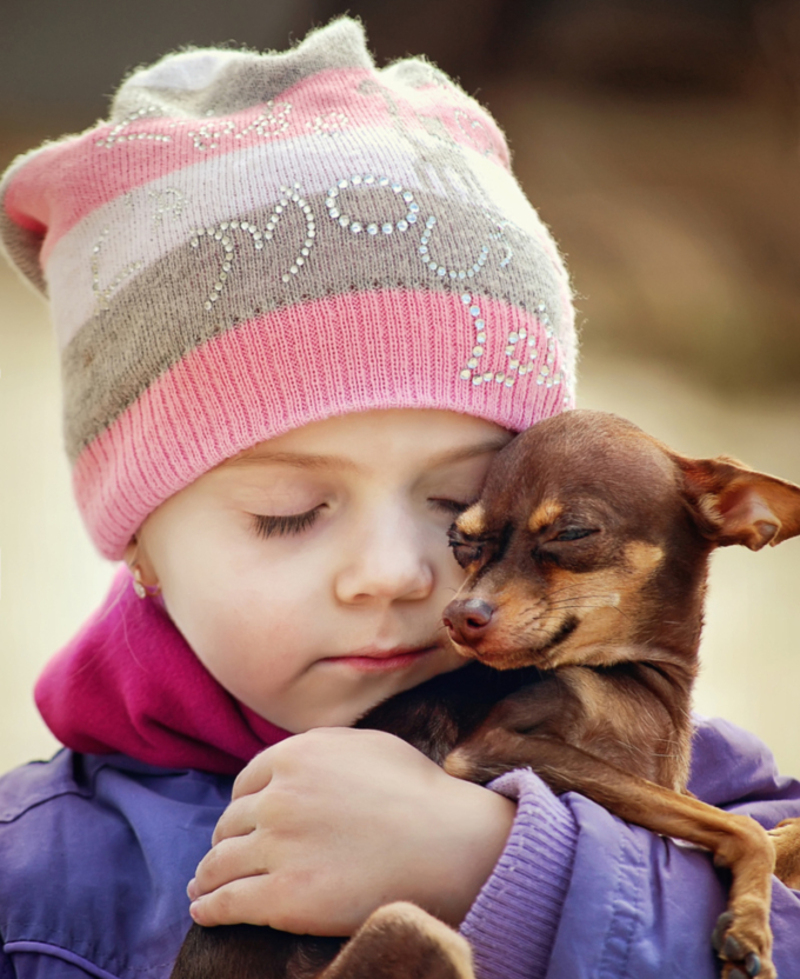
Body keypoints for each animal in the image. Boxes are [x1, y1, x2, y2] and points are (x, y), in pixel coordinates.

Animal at [172, 410, 800, 979]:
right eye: (463, 542)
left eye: (572, 533)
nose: (457, 615)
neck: (628, 675)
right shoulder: (495, 747)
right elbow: (740, 827)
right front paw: (751, 924)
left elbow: (739, 822)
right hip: (412, 927)